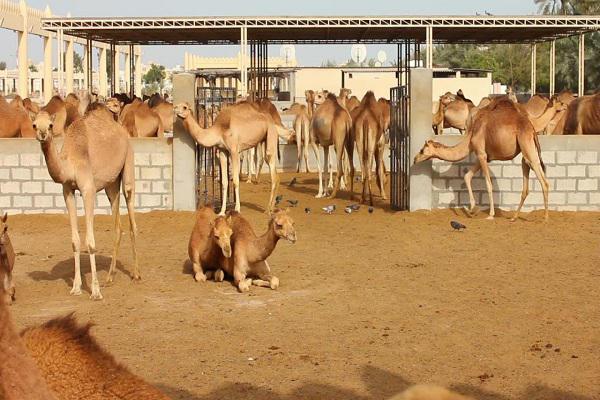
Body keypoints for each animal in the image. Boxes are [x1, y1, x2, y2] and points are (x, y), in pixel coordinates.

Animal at [33, 106, 141, 300]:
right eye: (34, 124)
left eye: (51, 125)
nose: (43, 134)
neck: (70, 162)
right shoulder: (67, 191)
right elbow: (75, 241)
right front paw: (76, 288)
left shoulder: (88, 189)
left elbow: (90, 242)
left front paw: (95, 292)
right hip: (111, 184)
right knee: (117, 225)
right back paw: (110, 277)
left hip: (128, 161)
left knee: (131, 213)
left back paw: (136, 274)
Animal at [418, 97, 548, 222]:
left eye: (422, 150)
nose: (415, 159)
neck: (471, 134)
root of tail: (532, 129)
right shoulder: (486, 156)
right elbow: (467, 176)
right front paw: (472, 209)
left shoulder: (481, 154)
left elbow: (488, 184)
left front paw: (490, 215)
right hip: (525, 151)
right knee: (526, 176)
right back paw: (514, 217)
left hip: (526, 144)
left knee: (544, 181)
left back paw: (545, 217)